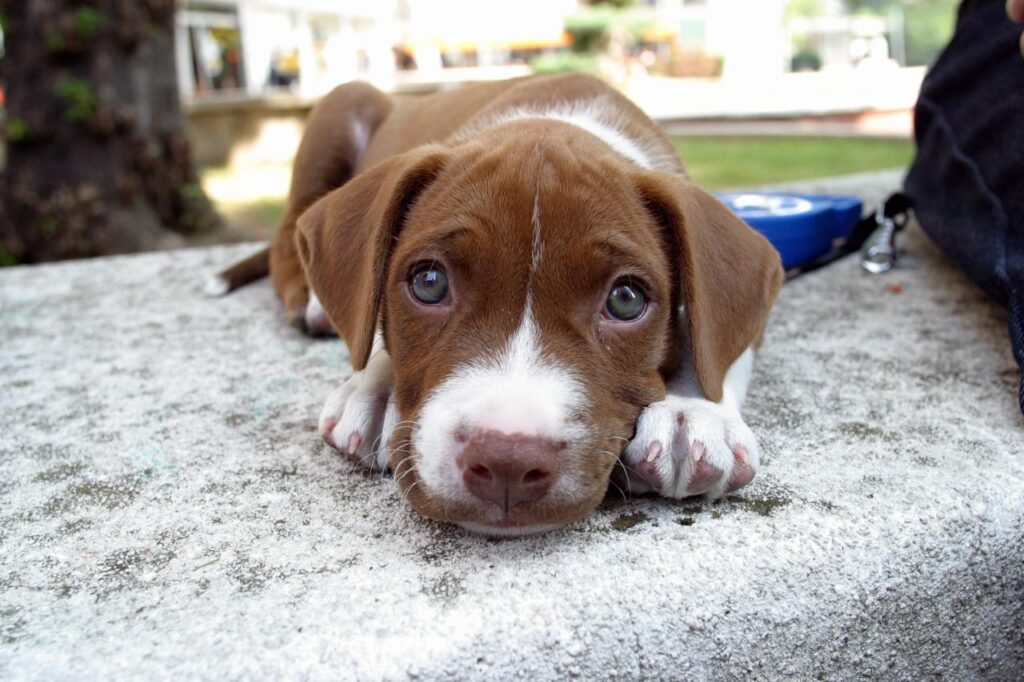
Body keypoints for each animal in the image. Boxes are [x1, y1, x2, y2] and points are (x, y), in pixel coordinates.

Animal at [211, 71, 778, 532]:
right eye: (429, 283)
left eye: (625, 299)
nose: (507, 461)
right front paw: (373, 387)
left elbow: (716, 341)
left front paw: (693, 412)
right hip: (339, 108)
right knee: (287, 238)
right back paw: (312, 303)